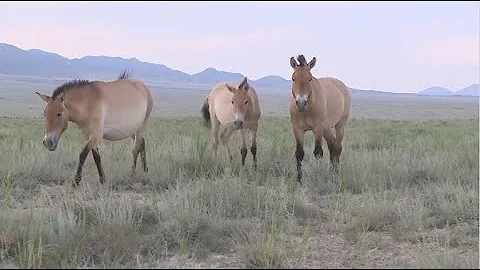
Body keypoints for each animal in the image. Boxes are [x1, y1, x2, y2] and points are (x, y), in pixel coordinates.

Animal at [288, 55, 352, 186]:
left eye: (310, 78)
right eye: (293, 78)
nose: (301, 103)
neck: (306, 110)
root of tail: (340, 84)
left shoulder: (317, 128)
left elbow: (318, 152)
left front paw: (317, 176)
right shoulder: (297, 129)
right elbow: (299, 153)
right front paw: (299, 180)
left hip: (339, 125)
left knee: (337, 147)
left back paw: (335, 174)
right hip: (326, 128)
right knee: (332, 146)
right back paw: (331, 172)